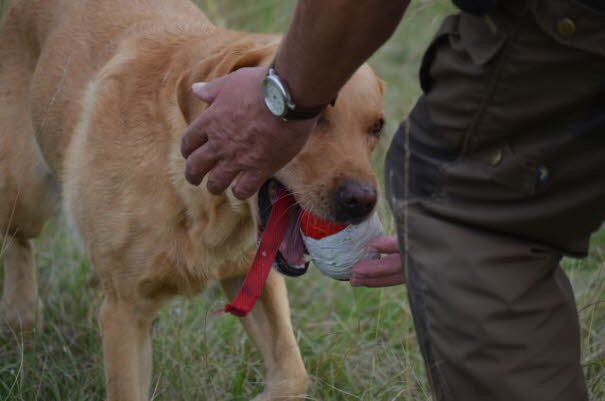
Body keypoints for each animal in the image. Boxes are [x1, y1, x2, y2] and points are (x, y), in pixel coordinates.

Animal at [0, 0, 384, 398]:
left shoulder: (251, 274)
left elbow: (293, 373)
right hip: (27, 194)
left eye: (377, 127)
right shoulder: (125, 312)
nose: (364, 200)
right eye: (316, 118)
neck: (205, 205)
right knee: (18, 237)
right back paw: (20, 313)